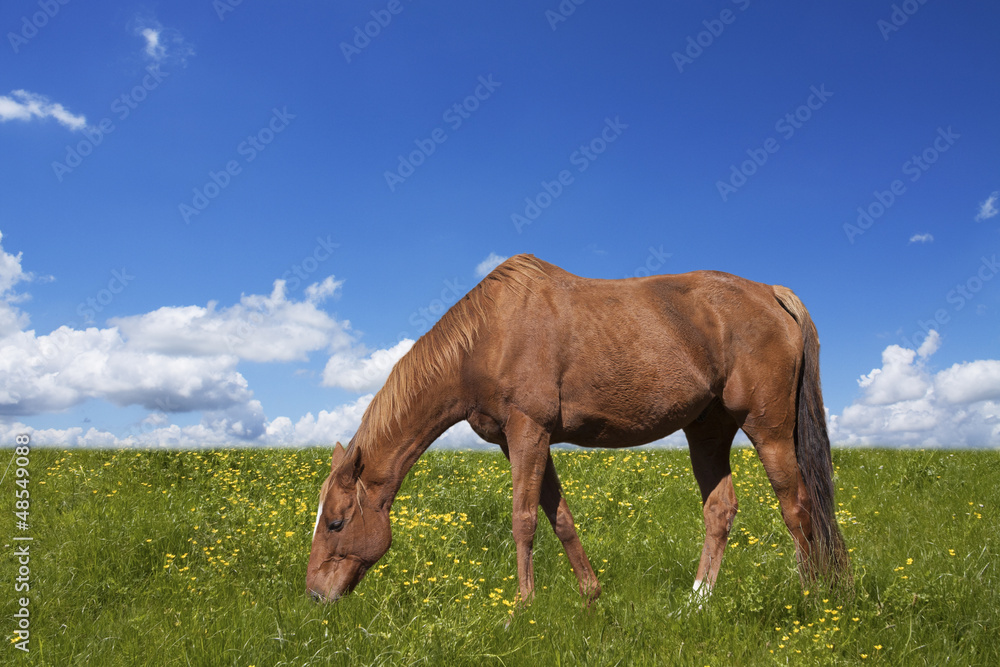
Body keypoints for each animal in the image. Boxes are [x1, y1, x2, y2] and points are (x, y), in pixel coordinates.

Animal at [306, 254, 850, 604]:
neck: (484, 338)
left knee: (796, 505)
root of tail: (771, 293)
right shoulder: (521, 442)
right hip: (708, 431)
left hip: (768, 428)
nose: (314, 596)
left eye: (335, 522)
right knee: (720, 510)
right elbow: (559, 517)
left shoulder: (529, 430)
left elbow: (524, 519)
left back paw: (812, 597)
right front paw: (590, 595)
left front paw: (521, 609)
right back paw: (697, 601)